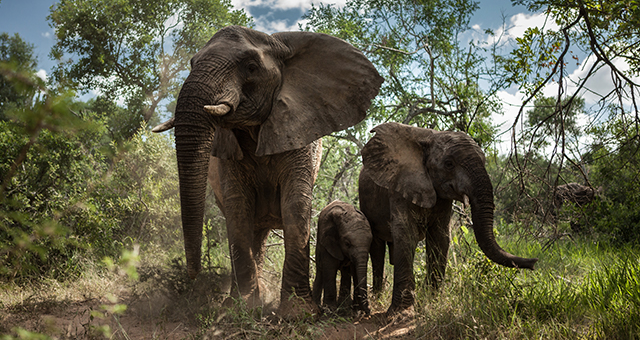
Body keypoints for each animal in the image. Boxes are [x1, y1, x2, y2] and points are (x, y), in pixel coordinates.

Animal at [152, 25, 382, 318]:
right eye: (191, 63)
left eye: (251, 67)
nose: (193, 274)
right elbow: (238, 207)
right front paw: (242, 309)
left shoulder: (298, 129)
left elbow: (295, 204)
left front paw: (298, 313)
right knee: (252, 232)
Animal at [358, 123, 536, 316]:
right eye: (449, 164)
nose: (534, 263)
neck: (429, 138)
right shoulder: (399, 187)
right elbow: (406, 235)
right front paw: (401, 314)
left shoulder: (442, 198)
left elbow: (440, 238)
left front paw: (431, 304)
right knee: (377, 249)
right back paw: (376, 297)